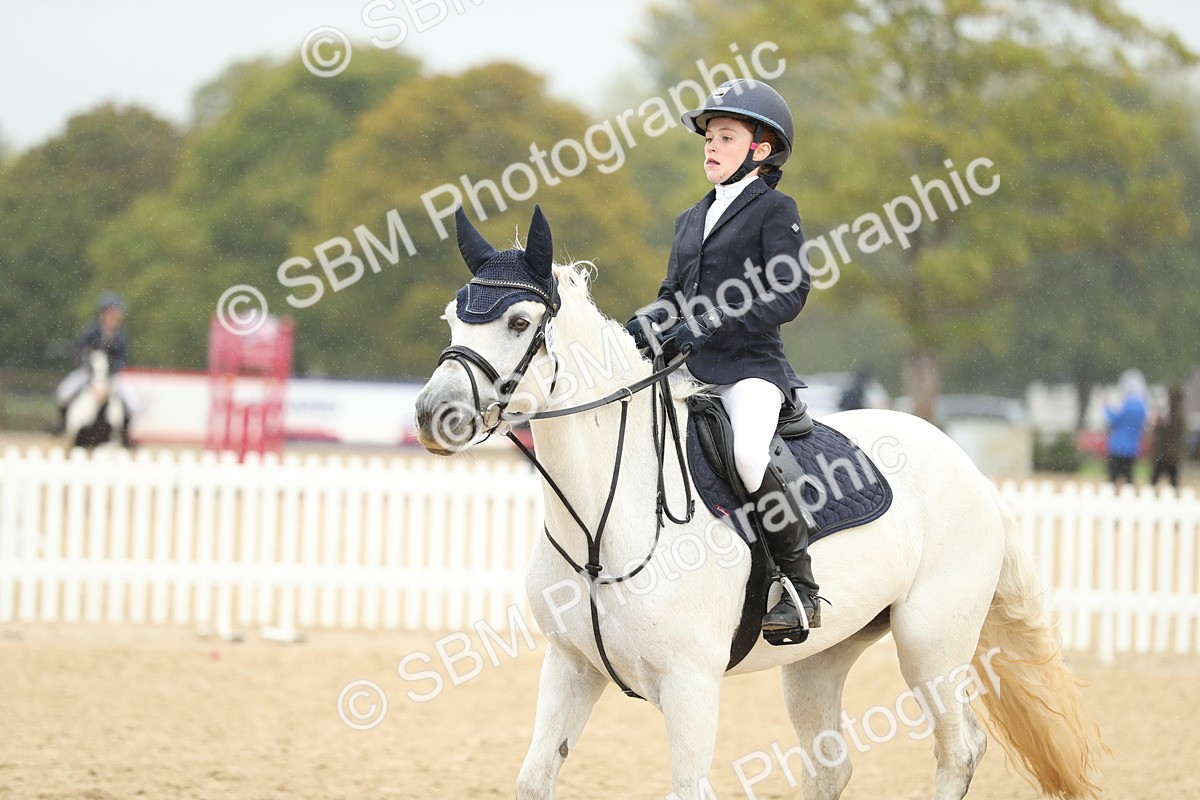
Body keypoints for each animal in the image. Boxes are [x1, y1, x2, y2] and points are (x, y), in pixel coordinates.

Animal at [414, 207, 1103, 800]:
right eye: (452, 318)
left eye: (518, 324)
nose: (432, 415)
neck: (601, 526)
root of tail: (969, 468)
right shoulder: (571, 666)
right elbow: (535, 779)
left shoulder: (690, 687)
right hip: (818, 661)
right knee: (831, 767)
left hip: (931, 643)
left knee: (957, 749)